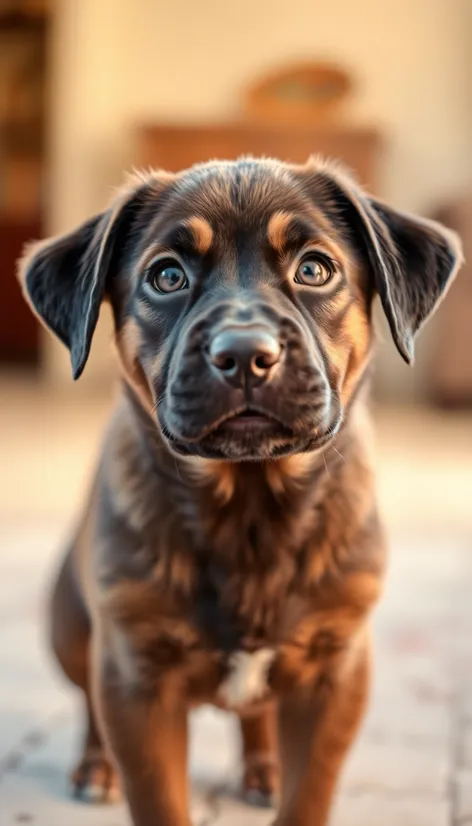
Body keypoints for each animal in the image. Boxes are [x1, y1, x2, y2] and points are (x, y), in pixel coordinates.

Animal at [17, 156, 460, 824]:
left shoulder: (336, 670)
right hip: (72, 630)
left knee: (256, 712)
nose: (247, 354)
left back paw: (263, 768)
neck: (251, 508)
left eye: (314, 269)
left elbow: (309, 794)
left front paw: (285, 782)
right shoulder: (136, 678)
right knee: (91, 706)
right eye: (166, 277)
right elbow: (160, 799)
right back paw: (95, 768)